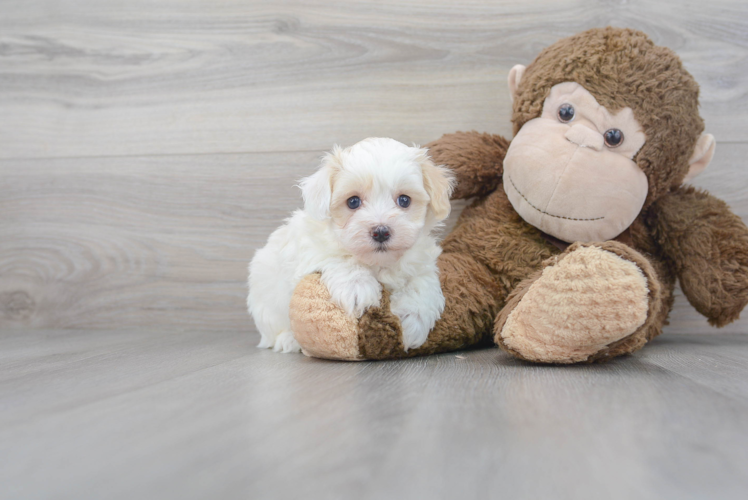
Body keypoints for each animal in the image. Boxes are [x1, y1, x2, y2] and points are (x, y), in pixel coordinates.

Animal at [248, 137, 452, 354]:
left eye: (404, 200)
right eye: (353, 202)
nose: (381, 232)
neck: (378, 262)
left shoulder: (422, 263)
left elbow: (422, 284)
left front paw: (412, 320)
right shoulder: (311, 248)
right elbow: (341, 258)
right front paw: (358, 288)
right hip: (264, 298)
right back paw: (288, 340)